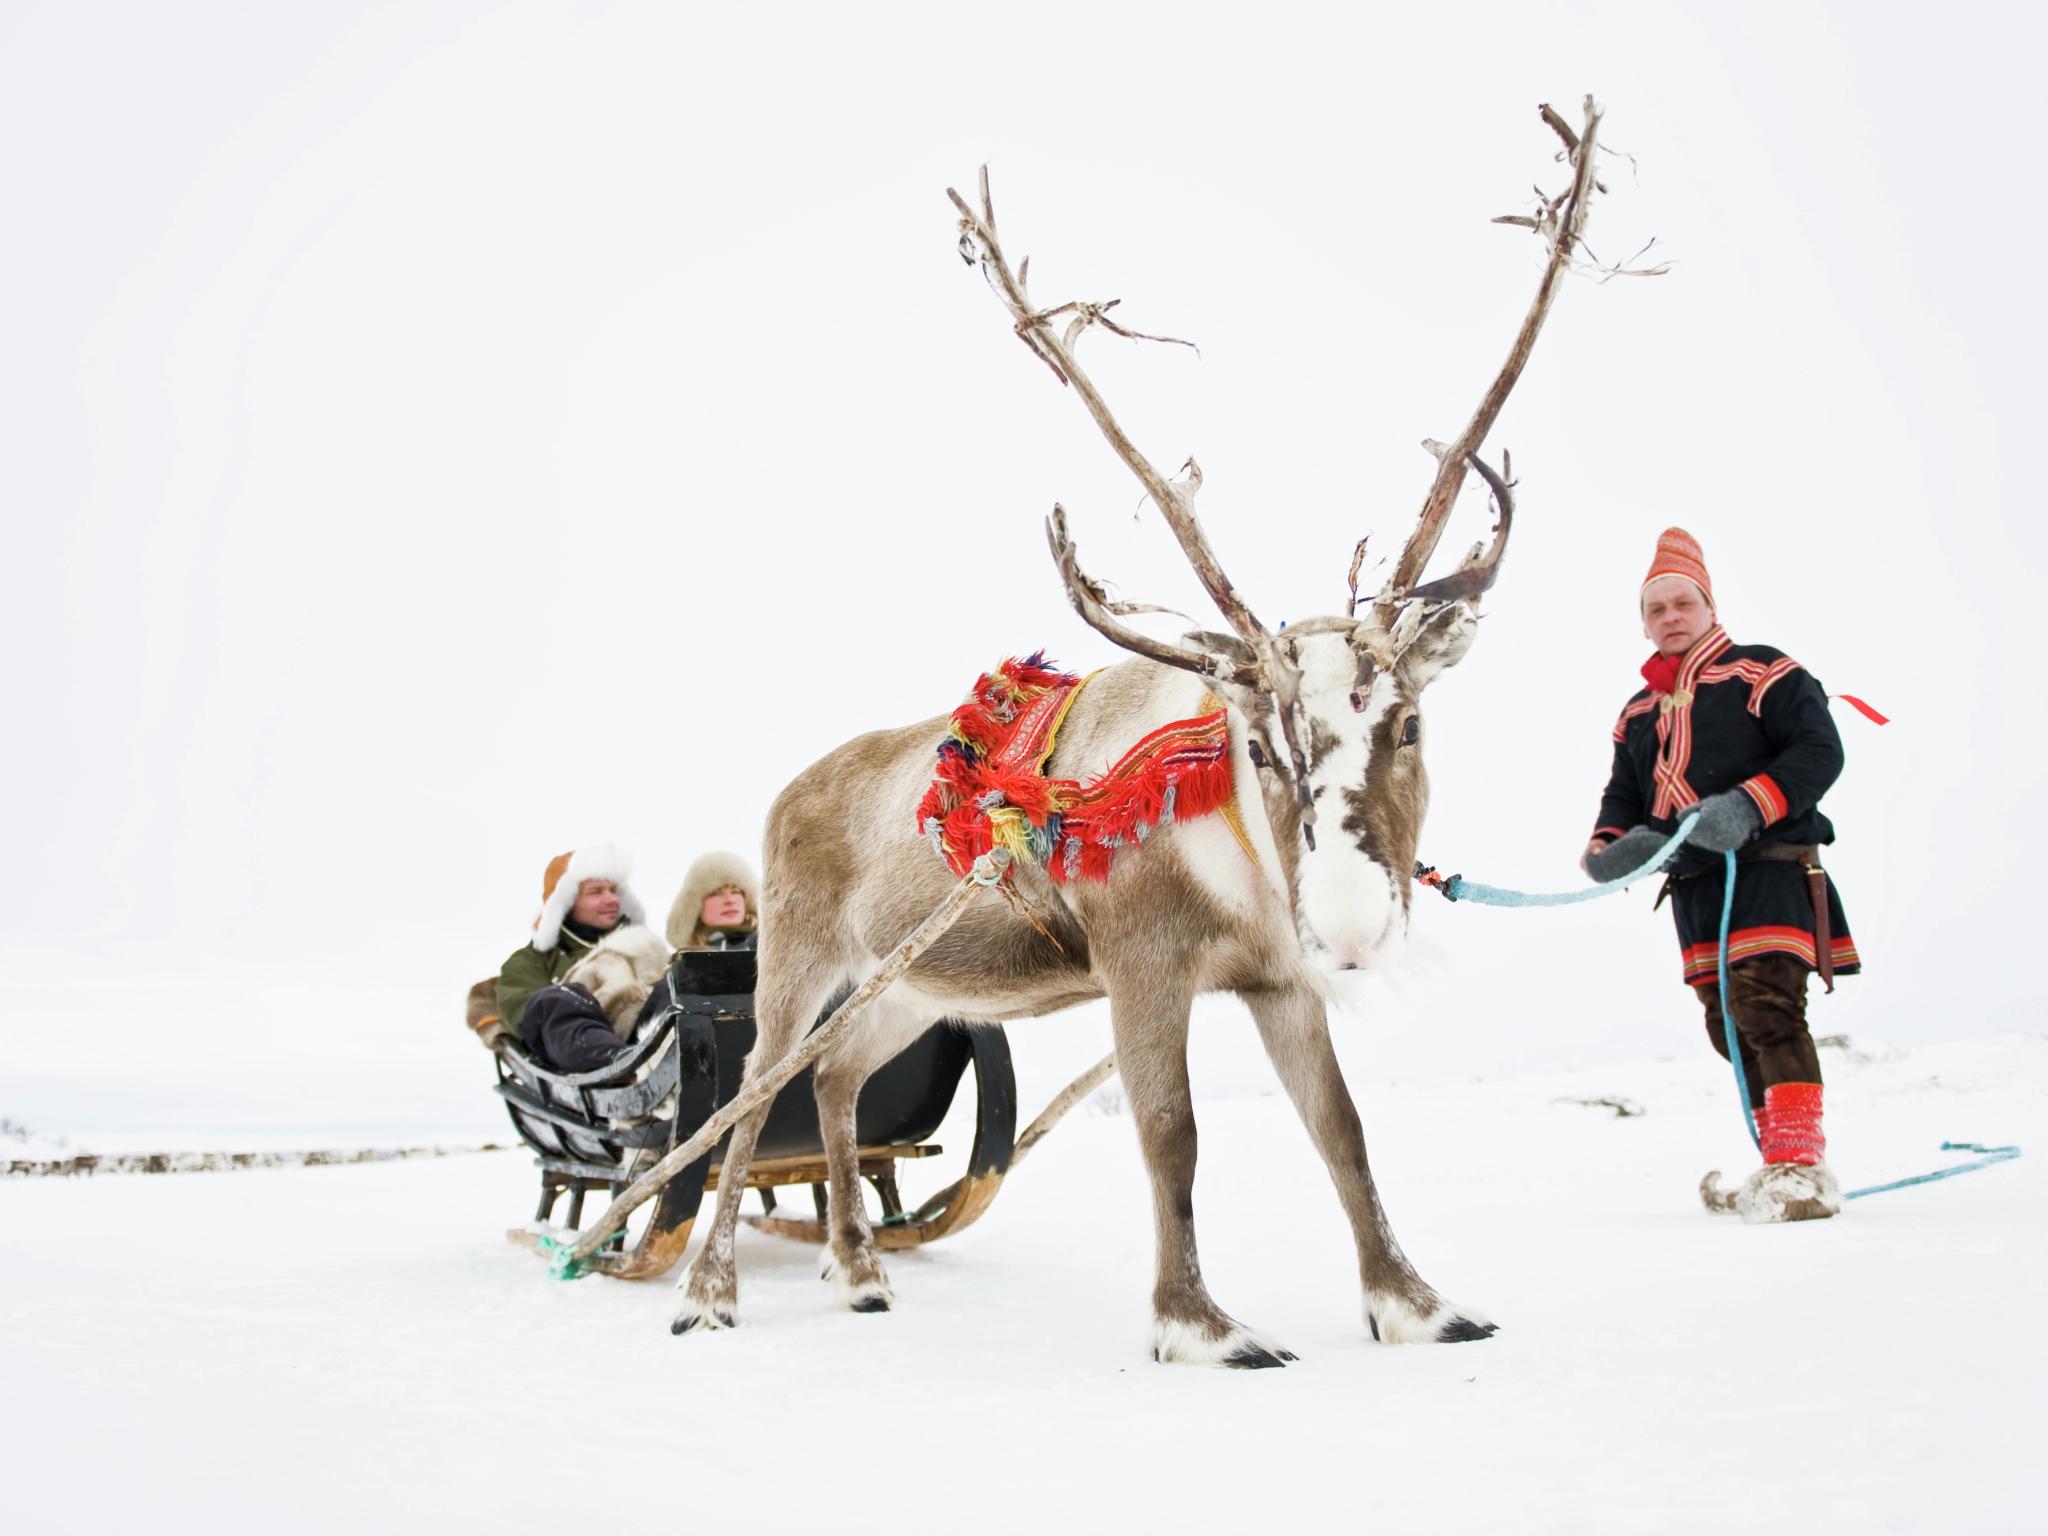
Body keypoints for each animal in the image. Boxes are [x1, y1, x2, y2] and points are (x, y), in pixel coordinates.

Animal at [671, 98, 1616, 1365]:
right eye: (1258, 741)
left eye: (1408, 722)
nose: (1351, 926)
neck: (1234, 859)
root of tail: (788, 787)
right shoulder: (1141, 963)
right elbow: (1169, 1131)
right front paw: (1201, 1325)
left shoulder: (1277, 978)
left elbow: (1342, 1131)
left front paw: (1416, 1305)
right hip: (799, 957)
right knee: (748, 1099)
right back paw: (709, 1291)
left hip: (913, 987)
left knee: (834, 1084)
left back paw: (859, 1270)